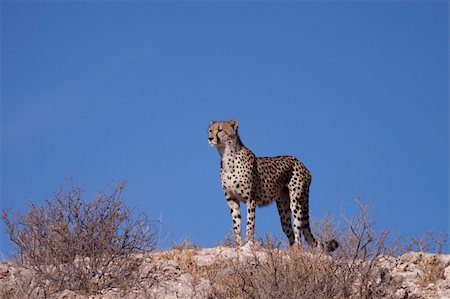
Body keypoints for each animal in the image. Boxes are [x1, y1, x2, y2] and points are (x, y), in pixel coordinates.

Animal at [207, 119, 338, 253]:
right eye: (210, 130)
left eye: (220, 130)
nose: (210, 138)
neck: (227, 156)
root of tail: (302, 163)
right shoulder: (232, 200)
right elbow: (236, 225)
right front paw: (238, 246)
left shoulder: (251, 199)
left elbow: (250, 224)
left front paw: (248, 244)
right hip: (283, 209)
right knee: (289, 230)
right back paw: (291, 250)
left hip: (296, 201)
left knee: (298, 229)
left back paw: (297, 248)